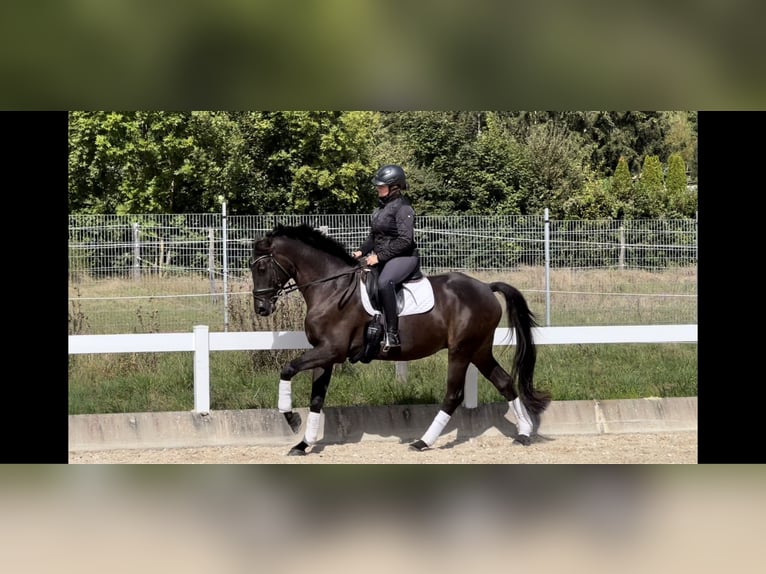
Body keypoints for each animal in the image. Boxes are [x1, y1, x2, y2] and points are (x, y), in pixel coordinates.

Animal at [252, 223, 552, 456]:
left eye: (263, 267)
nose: (261, 309)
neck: (332, 289)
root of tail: (486, 288)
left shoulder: (331, 351)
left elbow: (288, 369)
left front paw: (291, 418)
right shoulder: (324, 354)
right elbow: (316, 399)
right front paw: (303, 444)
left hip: (460, 350)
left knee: (453, 394)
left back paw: (423, 442)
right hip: (479, 349)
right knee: (504, 382)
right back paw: (524, 433)